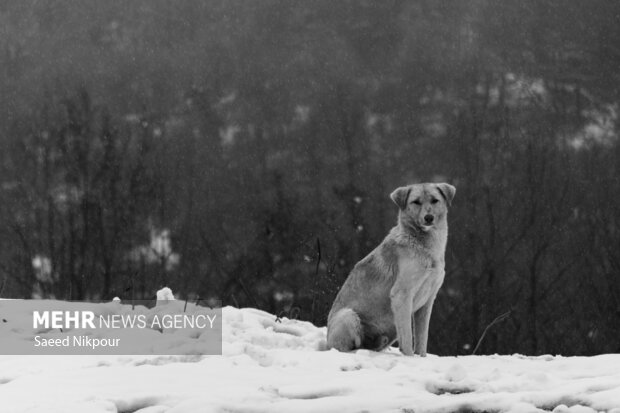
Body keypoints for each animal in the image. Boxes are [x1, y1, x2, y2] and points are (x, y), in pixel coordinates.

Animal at [324, 182, 456, 356]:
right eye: (416, 202)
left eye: (435, 200)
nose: (429, 218)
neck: (424, 246)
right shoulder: (401, 295)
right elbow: (407, 339)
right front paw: (410, 358)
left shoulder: (427, 301)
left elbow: (422, 339)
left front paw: (421, 357)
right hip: (348, 316)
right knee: (347, 347)